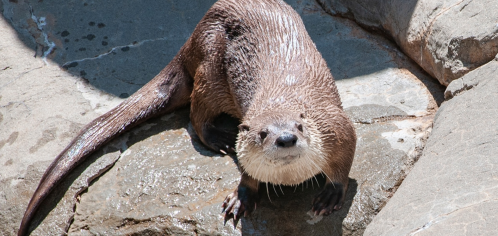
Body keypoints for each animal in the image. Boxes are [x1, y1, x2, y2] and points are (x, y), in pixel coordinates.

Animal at [18, 0, 354, 234]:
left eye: (299, 126)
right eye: (262, 133)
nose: (286, 138)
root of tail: (193, 35)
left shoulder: (336, 128)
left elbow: (345, 161)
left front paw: (331, 195)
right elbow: (246, 172)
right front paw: (242, 196)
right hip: (211, 67)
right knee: (196, 113)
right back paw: (219, 139)